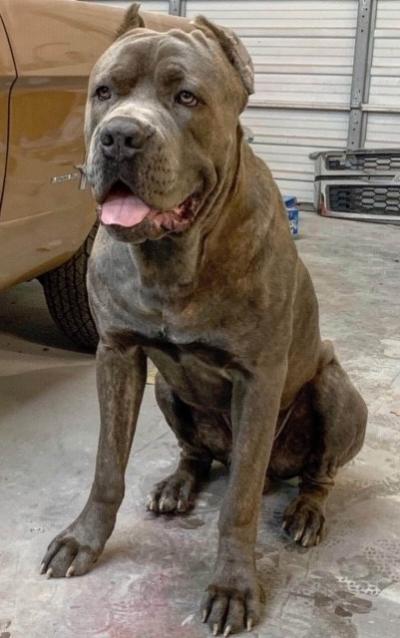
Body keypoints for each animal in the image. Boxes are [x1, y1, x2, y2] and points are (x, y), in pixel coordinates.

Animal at [41, 4, 367, 635]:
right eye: (104, 92)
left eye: (186, 97)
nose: (119, 135)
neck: (172, 258)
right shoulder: (117, 354)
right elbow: (107, 465)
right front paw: (83, 541)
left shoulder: (258, 379)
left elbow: (238, 503)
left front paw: (233, 586)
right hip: (167, 391)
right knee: (197, 452)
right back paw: (177, 485)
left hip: (338, 394)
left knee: (317, 473)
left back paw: (305, 512)